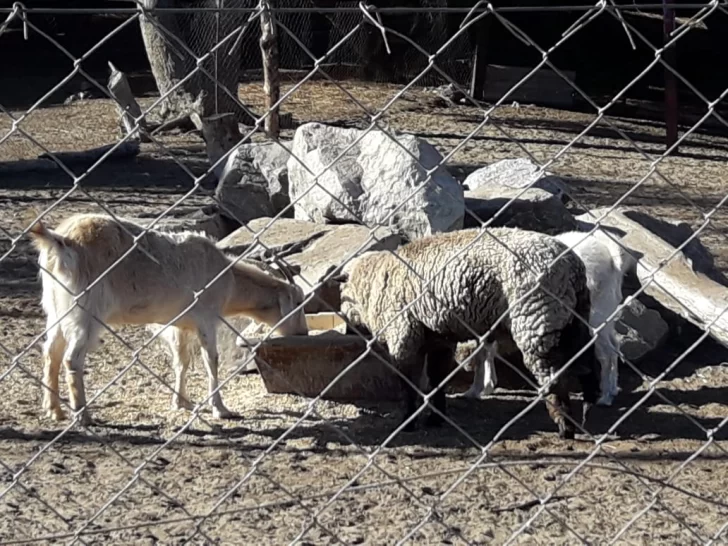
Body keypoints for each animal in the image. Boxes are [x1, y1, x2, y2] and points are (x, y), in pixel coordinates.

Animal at [27, 210, 308, 422]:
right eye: (299, 303)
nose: (303, 333)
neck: (225, 276)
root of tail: (62, 241)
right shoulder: (206, 319)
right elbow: (211, 360)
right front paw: (220, 409)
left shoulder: (179, 325)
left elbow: (181, 361)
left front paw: (182, 402)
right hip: (86, 310)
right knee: (72, 358)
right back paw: (83, 415)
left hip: (57, 308)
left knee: (51, 351)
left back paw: (54, 410)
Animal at [338, 225, 600, 438]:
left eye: (341, 296)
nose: (347, 331)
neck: (374, 282)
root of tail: (571, 267)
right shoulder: (438, 339)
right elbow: (437, 378)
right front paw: (436, 418)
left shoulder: (403, 335)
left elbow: (407, 382)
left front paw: (407, 422)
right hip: (573, 318)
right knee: (588, 363)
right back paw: (589, 409)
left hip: (538, 319)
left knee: (554, 374)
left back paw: (565, 425)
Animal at [460, 227, 636, 406]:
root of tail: (612, 256)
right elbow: (488, 351)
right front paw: (487, 385)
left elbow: (483, 353)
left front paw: (475, 390)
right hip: (606, 312)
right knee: (615, 345)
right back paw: (613, 389)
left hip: (594, 316)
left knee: (607, 353)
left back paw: (605, 397)